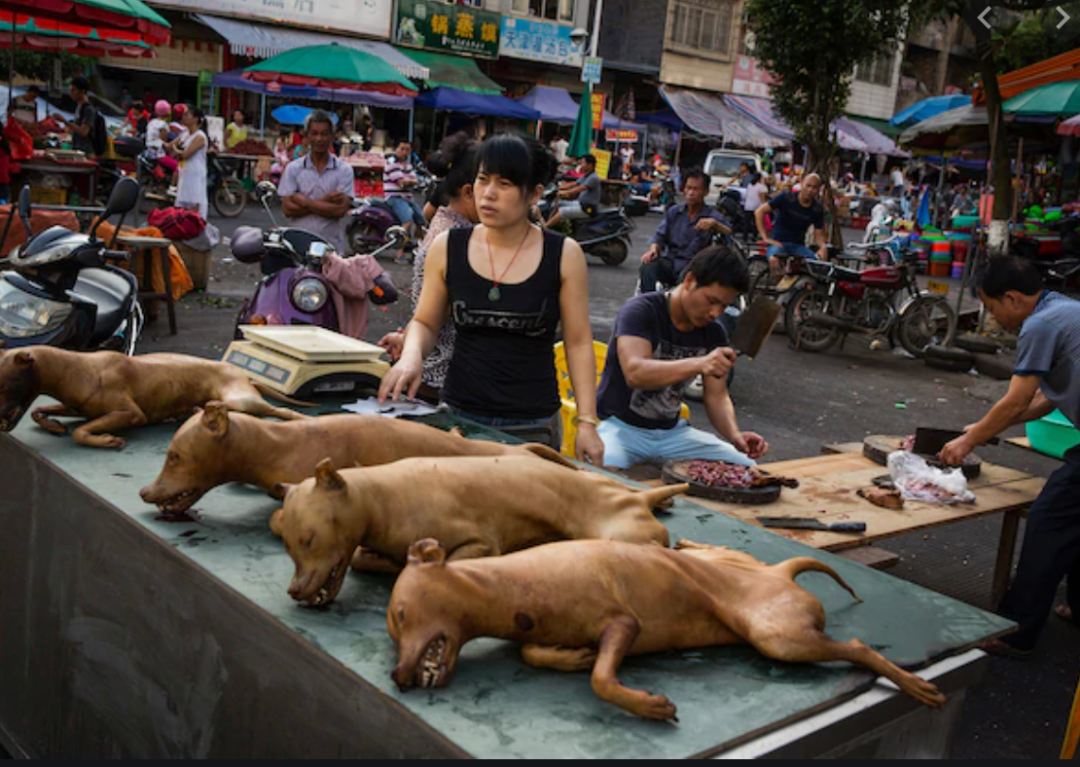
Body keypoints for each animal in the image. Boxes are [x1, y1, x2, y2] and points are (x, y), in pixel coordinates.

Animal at [0, 345, 308, 447]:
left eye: (7, 383)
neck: (79, 369)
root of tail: (245, 374)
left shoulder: (131, 414)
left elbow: (79, 432)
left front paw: (105, 440)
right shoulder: (77, 407)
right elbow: (38, 411)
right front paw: (53, 426)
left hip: (242, 399)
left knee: (281, 412)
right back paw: (193, 411)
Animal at [267, 460, 682, 609]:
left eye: (309, 539)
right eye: (287, 547)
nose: (295, 590)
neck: (382, 497)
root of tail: (641, 496)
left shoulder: (480, 542)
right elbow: (359, 558)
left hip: (625, 538)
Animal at [388, 540, 946, 721]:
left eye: (399, 616)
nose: (397, 675)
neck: (504, 588)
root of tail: (780, 573)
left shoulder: (623, 622)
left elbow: (602, 680)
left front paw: (649, 705)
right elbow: (532, 653)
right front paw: (571, 655)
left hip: (778, 635)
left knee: (856, 646)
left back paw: (913, 683)